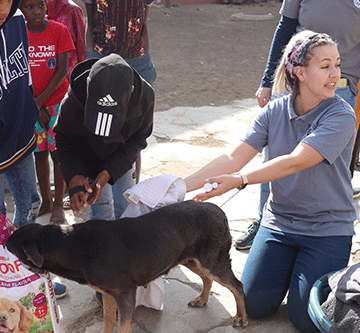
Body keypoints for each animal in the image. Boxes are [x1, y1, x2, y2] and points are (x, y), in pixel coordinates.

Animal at [5, 200, 248, 332]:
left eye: (10, 248)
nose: (3, 241)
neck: (72, 245)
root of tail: (218, 209)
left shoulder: (125, 294)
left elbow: (122, 326)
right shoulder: (108, 293)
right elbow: (108, 321)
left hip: (212, 262)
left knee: (237, 285)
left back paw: (242, 318)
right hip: (191, 259)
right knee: (207, 278)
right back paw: (202, 299)